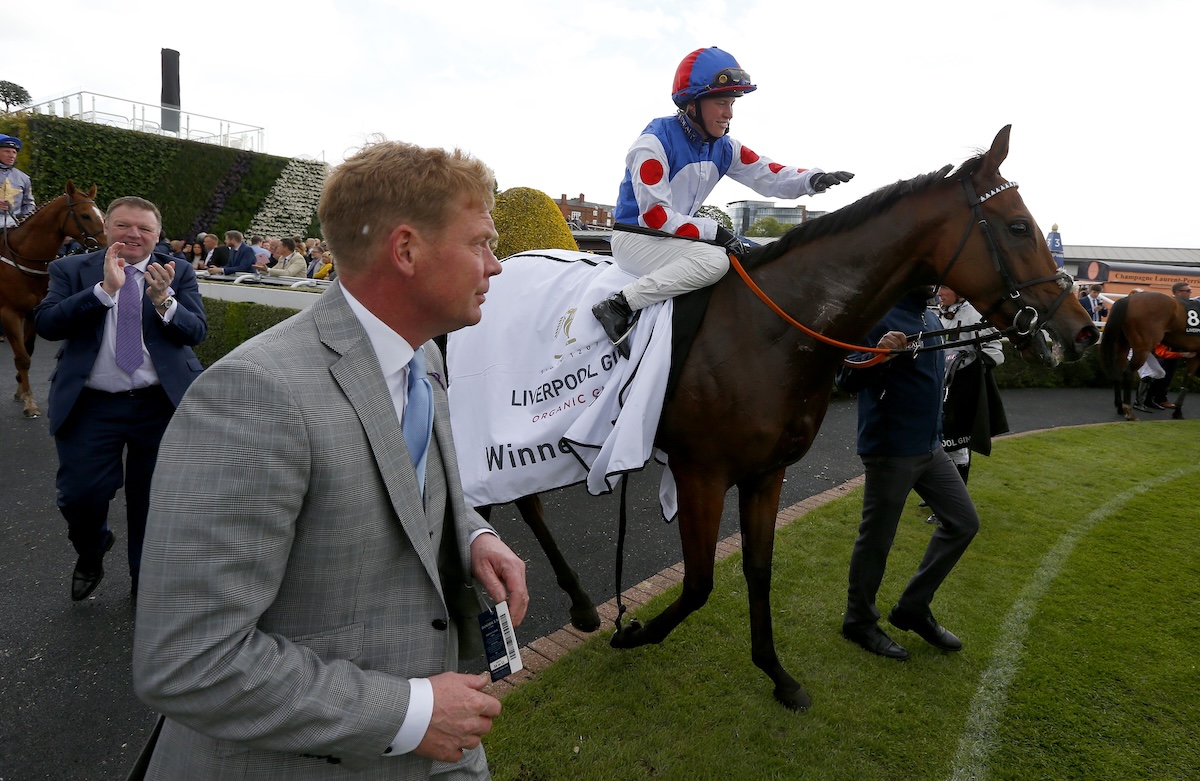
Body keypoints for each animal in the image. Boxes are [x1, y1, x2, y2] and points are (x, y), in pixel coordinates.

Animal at [0, 181, 106, 417]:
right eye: (85, 215)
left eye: (102, 214)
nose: (108, 244)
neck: (22, 260)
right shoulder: (9, 313)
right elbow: (22, 357)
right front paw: (29, 403)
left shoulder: (32, 313)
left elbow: (27, 352)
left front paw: (22, 391)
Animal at [1099, 289, 1200, 422]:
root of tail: (1128, 299)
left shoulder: (1196, 354)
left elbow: (1187, 381)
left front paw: (1177, 412)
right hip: (1142, 349)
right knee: (1128, 373)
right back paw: (1130, 411)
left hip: (1123, 345)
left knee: (1119, 372)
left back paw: (1120, 407)